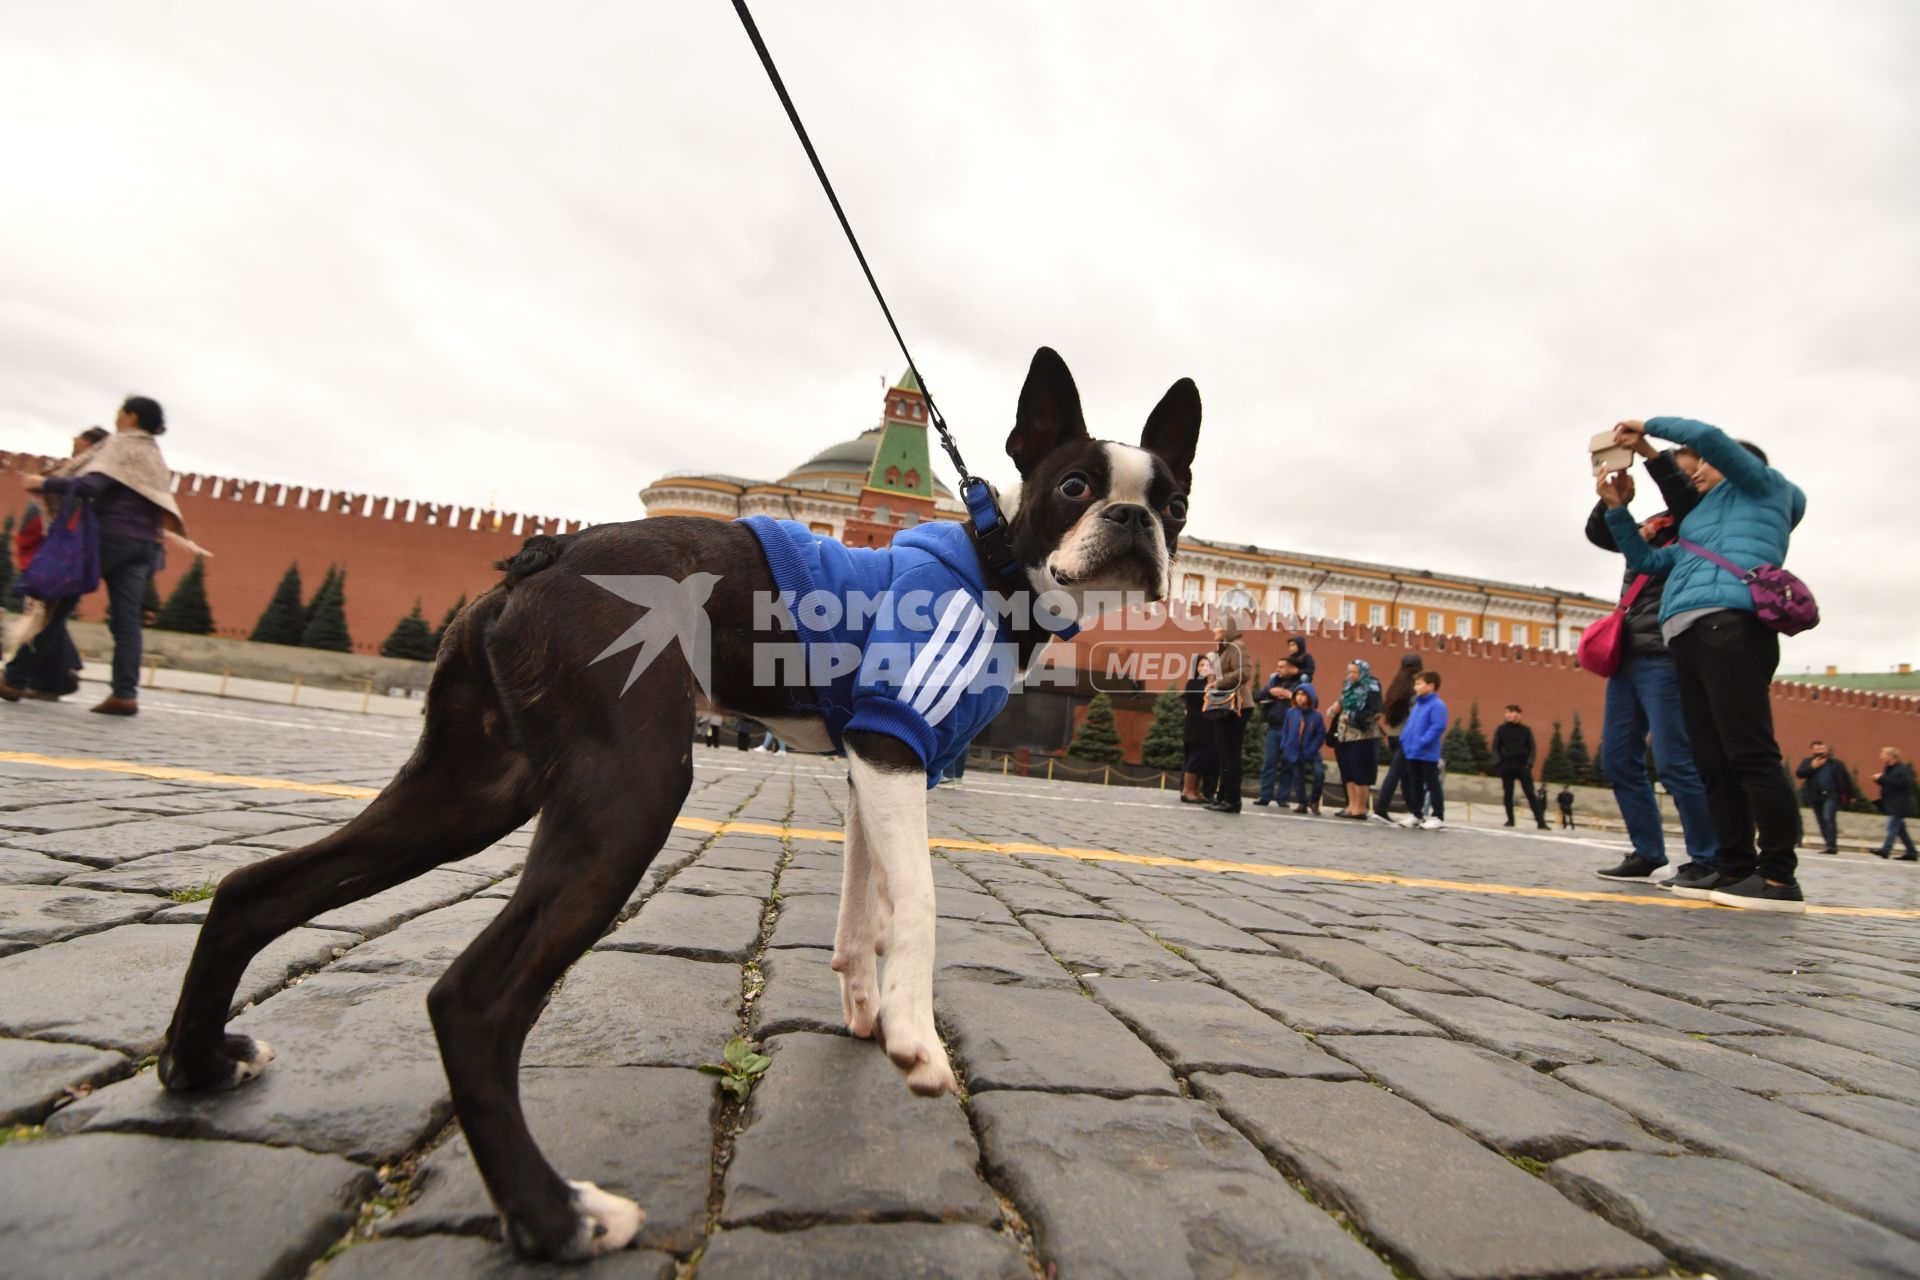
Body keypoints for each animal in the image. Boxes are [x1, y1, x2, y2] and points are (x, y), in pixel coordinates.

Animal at [157, 347, 1198, 1258]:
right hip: (628, 795)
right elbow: (922, 904)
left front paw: (865, 1011)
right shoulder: (895, 748)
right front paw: (914, 1036)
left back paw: (200, 1067)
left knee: (255, 888)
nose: (1133, 522)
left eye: (1176, 501)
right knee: (471, 999)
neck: (992, 561)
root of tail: (548, 555)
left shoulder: (871, 765)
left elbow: (863, 908)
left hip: (470, 789)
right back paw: (557, 1219)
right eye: (1075, 486)